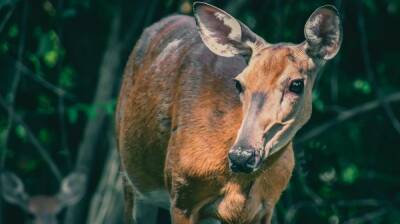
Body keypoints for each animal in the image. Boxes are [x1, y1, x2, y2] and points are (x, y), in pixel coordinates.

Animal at [117, 2, 342, 224]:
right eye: (239, 83)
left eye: (296, 84)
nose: (242, 156)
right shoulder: (181, 195)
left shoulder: (266, 205)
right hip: (129, 176)